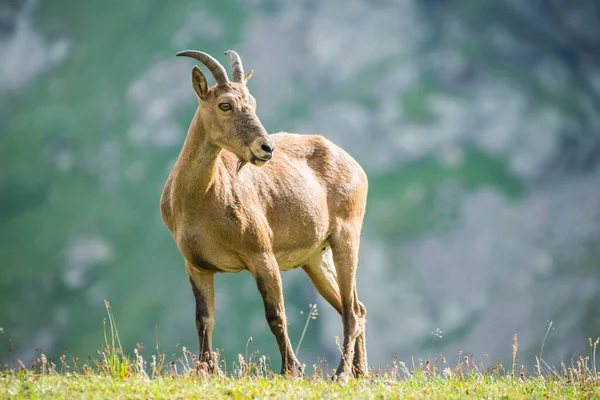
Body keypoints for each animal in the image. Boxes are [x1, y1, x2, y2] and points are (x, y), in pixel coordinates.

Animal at [159, 49, 366, 378]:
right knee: (357, 307)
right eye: (225, 104)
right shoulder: (196, 265)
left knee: (350, 310)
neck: (200, 201)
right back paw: (361, 372)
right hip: (315, 259)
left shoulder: (262, 254)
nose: (266, 148)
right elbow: (203, 319)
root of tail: (354, 164)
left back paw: (341, 373)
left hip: (347, 236)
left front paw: (291, 370)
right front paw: (205, 370)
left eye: (253, 103)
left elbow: (275, 315)